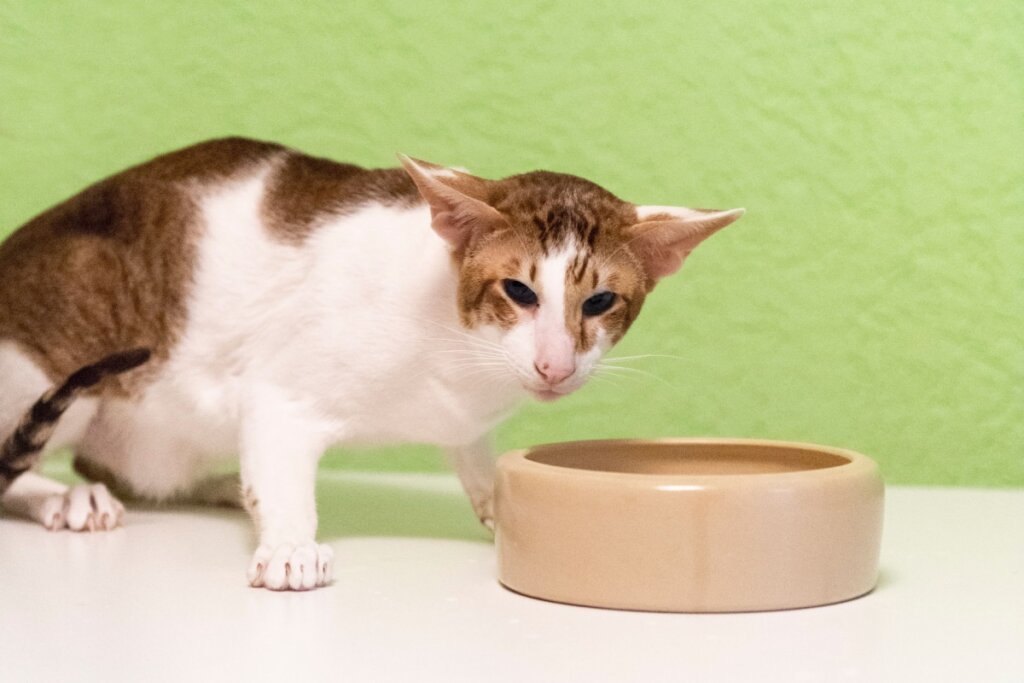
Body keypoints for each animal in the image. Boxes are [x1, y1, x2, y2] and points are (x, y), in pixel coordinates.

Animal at [0, 137, 745, 589]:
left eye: (600, 302)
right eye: (519, 291)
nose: (554, 366)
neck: (462, 359)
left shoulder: (467, 423)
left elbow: (476, 460)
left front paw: (497, 505)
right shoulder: (278, 394)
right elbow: (281, 465)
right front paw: (290, 543)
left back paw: (216, 485)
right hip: (73, 345)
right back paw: (66, 496)